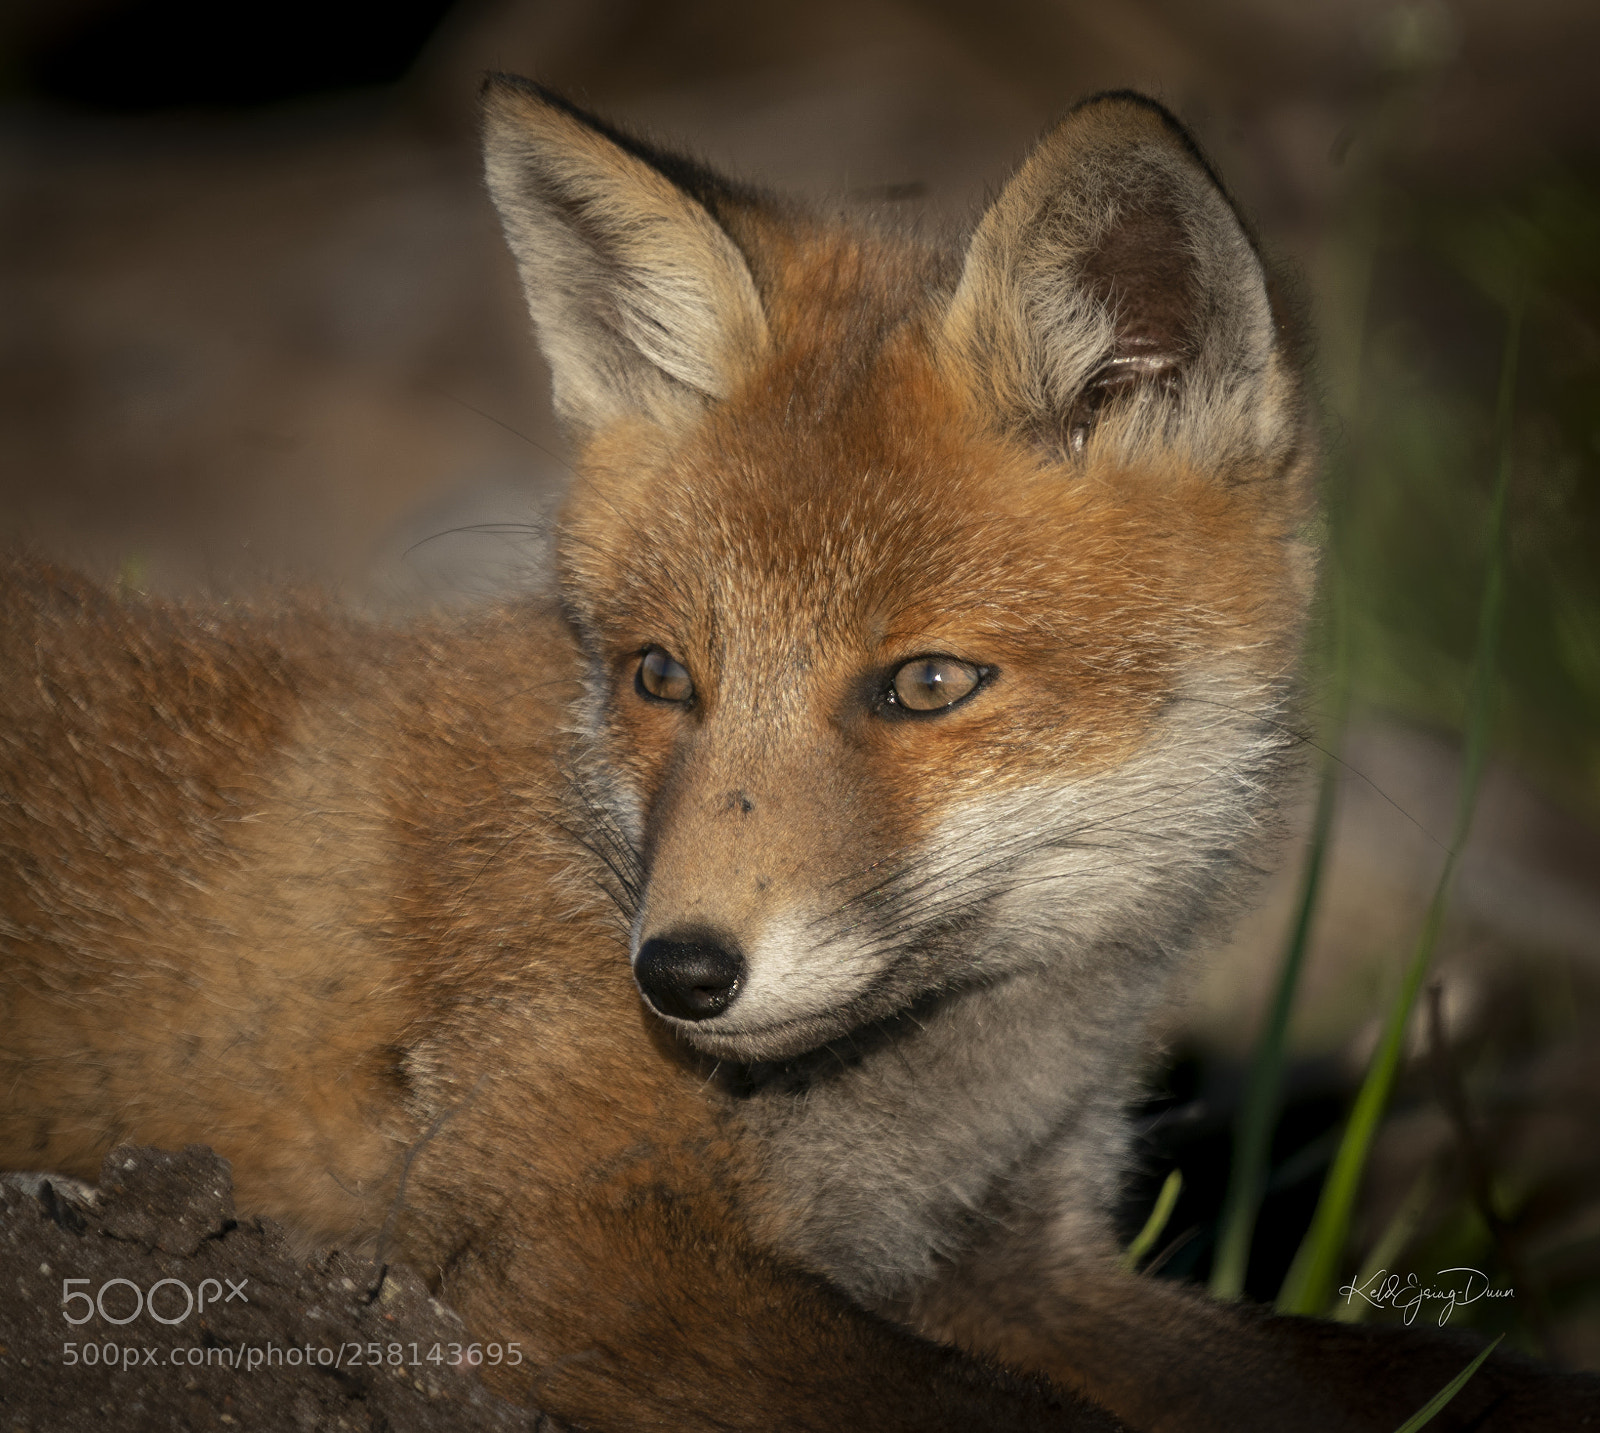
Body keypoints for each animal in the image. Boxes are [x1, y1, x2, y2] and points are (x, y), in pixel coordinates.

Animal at [3, 76, 1594, 1432]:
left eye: (929, 683)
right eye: (662, 675)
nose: (679, 973)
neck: (923, 1108)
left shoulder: (1019, 1256)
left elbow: (1413, 1371)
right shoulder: (542, 1225)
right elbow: (983, 1410)